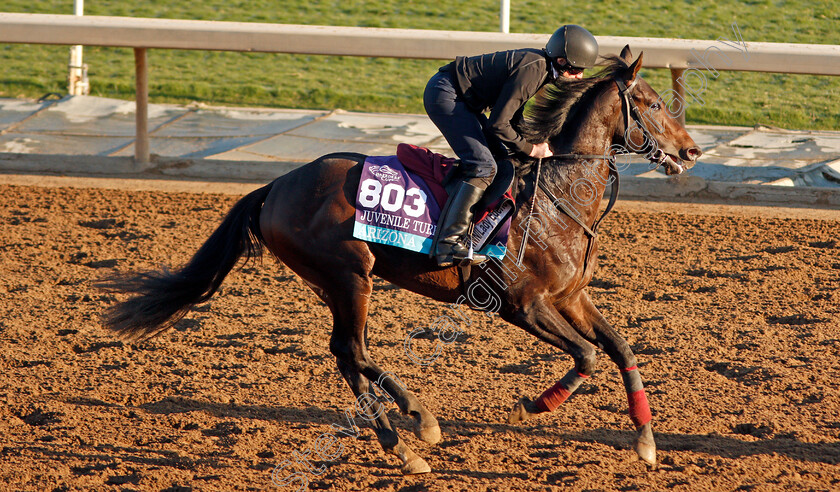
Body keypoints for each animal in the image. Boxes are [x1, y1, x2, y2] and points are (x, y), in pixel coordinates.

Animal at [98, 47, 704, 476]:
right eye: (652, 103)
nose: (692, 151)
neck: (559, 197)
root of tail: (275, 187)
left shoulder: (570, 296)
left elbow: (620, 348)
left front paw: (647, 443)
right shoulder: (521, 304)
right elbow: (586, 356)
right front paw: (530, 409)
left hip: (337, 281)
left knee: (348, 354)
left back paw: (399, 442)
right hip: (349, 274)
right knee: (351, 349)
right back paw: (419, 425)